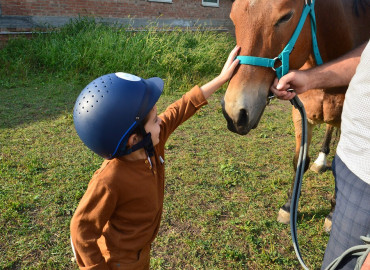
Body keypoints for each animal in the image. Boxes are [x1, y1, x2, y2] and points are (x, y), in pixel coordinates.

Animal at [223, 0, 370, 232]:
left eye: (286, 17)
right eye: (233, 16)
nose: (235, 113)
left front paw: (332, 214)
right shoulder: (301, 116)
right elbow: (299, 160)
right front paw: (288, 207)